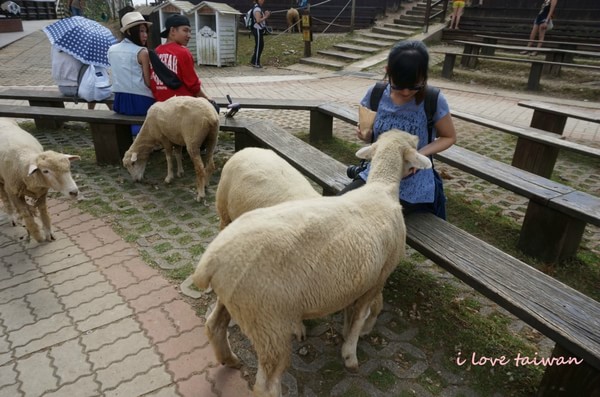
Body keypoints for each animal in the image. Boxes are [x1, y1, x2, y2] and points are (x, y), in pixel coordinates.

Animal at [192, 128, 432, 394]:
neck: (381, 189)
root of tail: (210, 261)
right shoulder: (378, 276)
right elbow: (360, 316)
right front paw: (350, 353)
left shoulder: (358, 279)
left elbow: (352, 313)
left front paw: (347, 333)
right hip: (267, 320)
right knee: (266, 384)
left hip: (238, 300)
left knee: (214, 325)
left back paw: (230, 359)